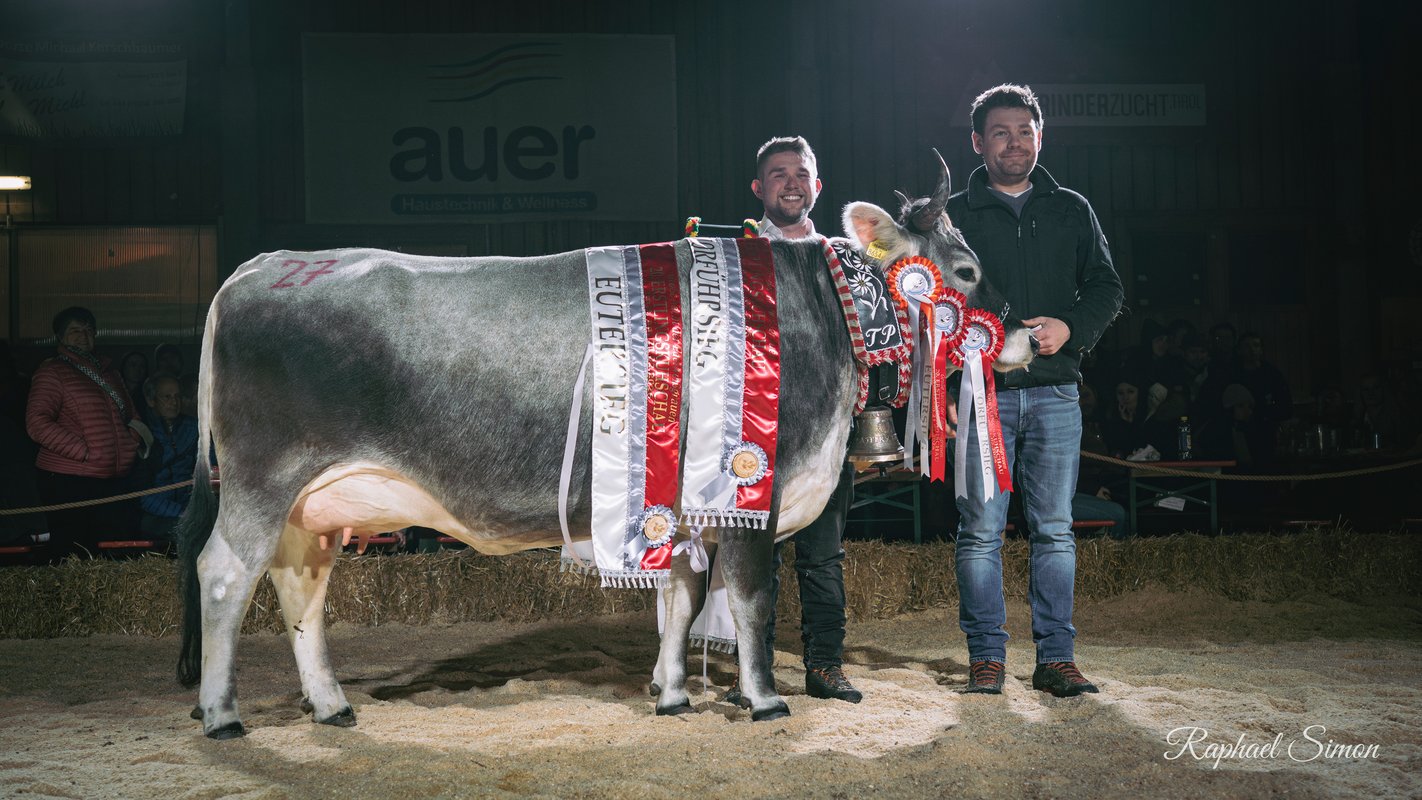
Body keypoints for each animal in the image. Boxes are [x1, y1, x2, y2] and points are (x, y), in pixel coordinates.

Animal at [175, 154, 1035, 738]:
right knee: (223, 575)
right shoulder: (753, 489)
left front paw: (673, 693)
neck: (817, 311)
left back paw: (330, 704)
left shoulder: (683, 504)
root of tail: (261, 266)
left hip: (314, 505)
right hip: (262, 478)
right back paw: (221, 713)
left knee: (299, 590)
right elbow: (751, 602)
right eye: (966, 269)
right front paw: (763, 699)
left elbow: (682, 600)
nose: (1025, 336)